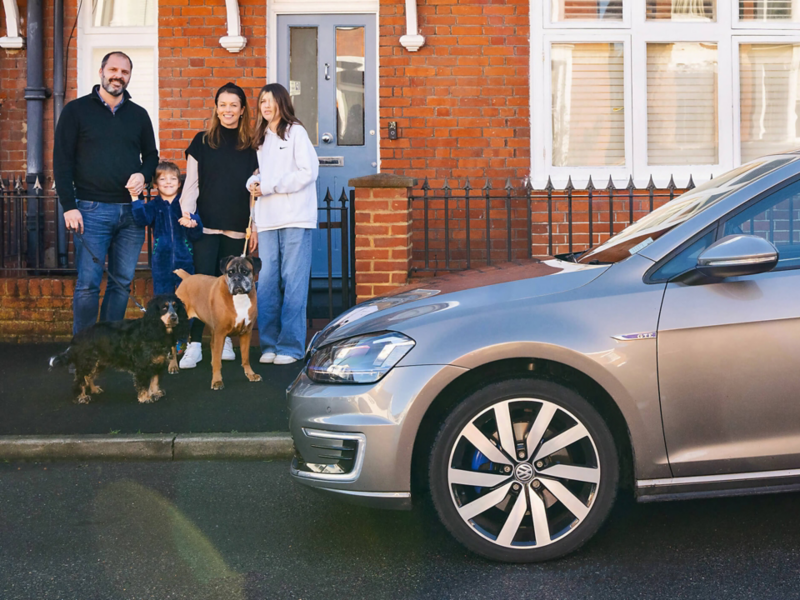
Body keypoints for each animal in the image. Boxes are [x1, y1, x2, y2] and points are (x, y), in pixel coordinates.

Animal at [48, 294, 189, 404]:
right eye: (164, 307)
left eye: (176, 306)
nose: (174, 317)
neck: (155, 330)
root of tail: (77, 336)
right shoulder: (142, 365)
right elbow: (143, 383)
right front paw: (145, 398)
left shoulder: (158, 364)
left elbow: (155, 381)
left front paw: (155, 393)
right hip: (87, 362)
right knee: (80, 380)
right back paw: (81, 397)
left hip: (98, 363)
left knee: (88, 377)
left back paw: (94, 389)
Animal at [174, 255, 262, 392]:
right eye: (230, 272)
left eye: (245, 271)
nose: (236, 278)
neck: (239, 297)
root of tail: (187, 277)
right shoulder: (220, 333)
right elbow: (217, 361)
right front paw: (216, 381)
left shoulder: (246, 333)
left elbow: (245, 357)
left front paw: (250, 374)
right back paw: (172, 366)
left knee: (212, 346)